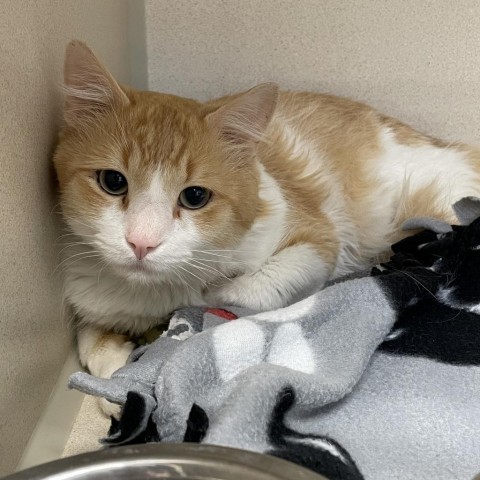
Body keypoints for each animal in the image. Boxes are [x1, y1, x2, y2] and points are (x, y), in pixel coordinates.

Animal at [54, 41, 480, 416]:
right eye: (113, 182)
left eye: (195, 197)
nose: (142, 243)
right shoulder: (88, 292)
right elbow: (90, 339)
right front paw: (116, 381)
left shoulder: (316, 239)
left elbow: (252, 289)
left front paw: (211, 295)